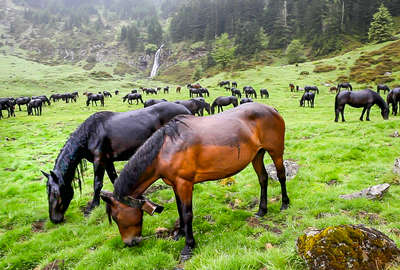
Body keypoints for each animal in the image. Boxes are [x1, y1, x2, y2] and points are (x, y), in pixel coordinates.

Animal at [41, 102, 191, 224]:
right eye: (47, 192)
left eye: (55, 193)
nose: (54, 219)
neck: (91, 133)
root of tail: (186, 110)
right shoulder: (108, 161)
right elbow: (114, 179)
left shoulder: (99, 160)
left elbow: (97, 184)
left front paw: (93, 206)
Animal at [99, 102, 290, 260]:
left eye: (116, 217)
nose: (129, 243)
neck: (165, 149)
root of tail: (271, 109)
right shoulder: (175, 184)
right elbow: (179, 210)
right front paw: (180, 234)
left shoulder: (185, 184)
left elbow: (187, 213)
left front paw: (188, 247)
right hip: (257, 155)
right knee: (263, 179)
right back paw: (262, 210)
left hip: (275, 151)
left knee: (281, 175)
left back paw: (285, 204)